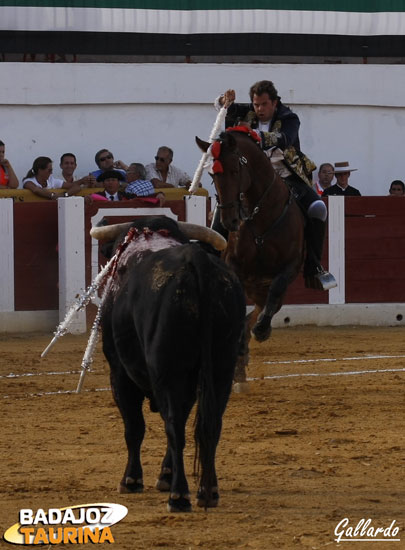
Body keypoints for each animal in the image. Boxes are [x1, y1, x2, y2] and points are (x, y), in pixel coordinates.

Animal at [98, 217, 243, 512]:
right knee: (211, 424)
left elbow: (135, 427)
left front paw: (131, 480)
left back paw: (179, 496)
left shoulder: (119, 373)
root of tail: (196, 261)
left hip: (169, 371)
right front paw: (164, 474)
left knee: (174, 426)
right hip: (222, 368)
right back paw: (208, 491)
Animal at [195, 127, 304, 382]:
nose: (230, 221)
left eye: (235, 170)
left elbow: (276, 290)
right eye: (212, 176)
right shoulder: (234, 264)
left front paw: (262, 330)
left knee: (266, 305)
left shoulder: (291, 265)